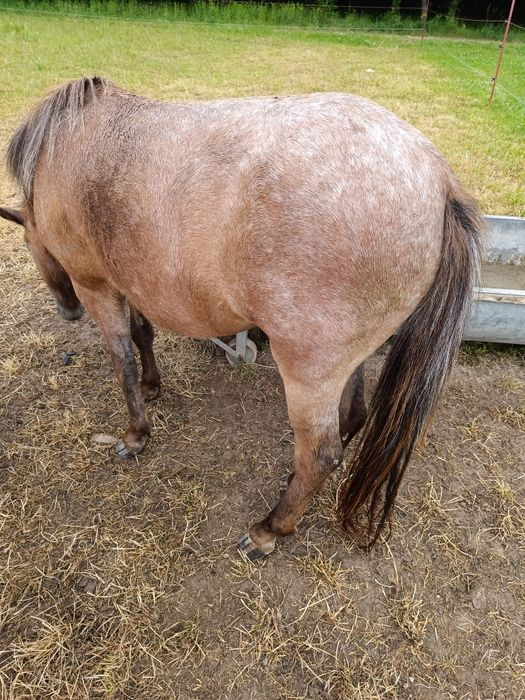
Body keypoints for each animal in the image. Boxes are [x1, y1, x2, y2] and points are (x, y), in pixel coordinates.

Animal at [0, 77, 484, 560]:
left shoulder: (96, 286)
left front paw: (137, 434)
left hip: (308, 370)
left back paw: (270, 528)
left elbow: (124, 365)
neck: (71, 141)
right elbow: (143, 335)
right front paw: (153, 387)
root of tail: (437, 179)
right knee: (353, 418)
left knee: (321, 454)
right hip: (349, 358)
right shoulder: (129, 283)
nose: (67, 311)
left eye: (26, 242)